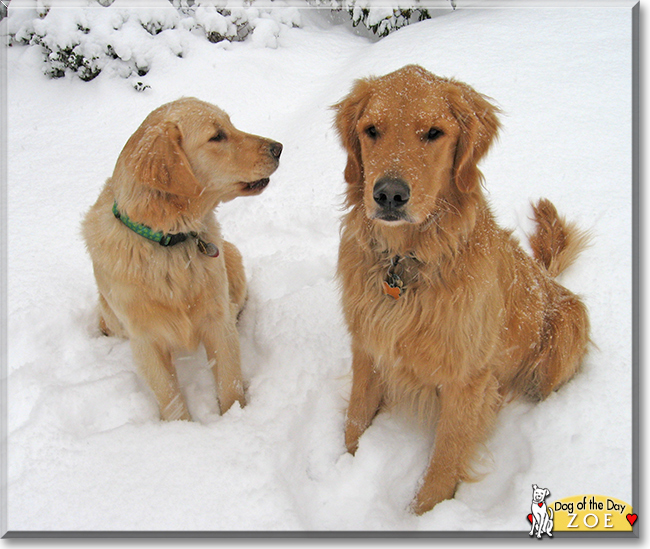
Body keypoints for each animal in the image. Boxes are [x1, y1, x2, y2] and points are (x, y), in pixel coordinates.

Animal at [81, 98, 280, 422]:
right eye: (217, 136)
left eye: (231, 124)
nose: (279, 148)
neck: (171, 242)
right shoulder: (145, 341)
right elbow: (170, 398)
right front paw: (182, 430)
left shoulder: (217, 320)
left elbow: (230, 383)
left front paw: (235, 419)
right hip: (112, 315)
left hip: (233, 259)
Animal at [332, 65, 588, 512]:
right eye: (372, 130)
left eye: (434, 133)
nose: (389, 194)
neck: (406, 262)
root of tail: (549, 277)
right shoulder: (367, 349)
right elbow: (355, 422)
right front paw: (344, 472)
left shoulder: (467, 381)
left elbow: (444, 462)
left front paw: (423, 515)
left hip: (566, 332)